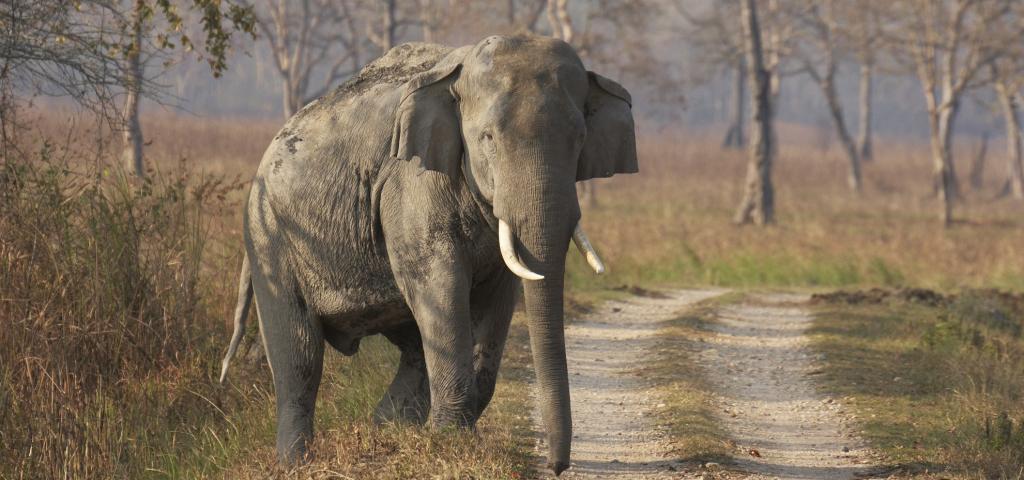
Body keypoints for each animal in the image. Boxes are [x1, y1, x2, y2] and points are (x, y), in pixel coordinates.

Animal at [218, 34, 637, 475]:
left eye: (580, 140)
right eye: (488, 139)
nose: (556, 467)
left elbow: (495, 299)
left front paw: (447, 436)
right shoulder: (410, 183)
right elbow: (441, 285)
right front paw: (453, 442)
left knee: (412, 346)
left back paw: (387, 431)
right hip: (269, 234)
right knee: (298, 353)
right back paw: (297, 463)